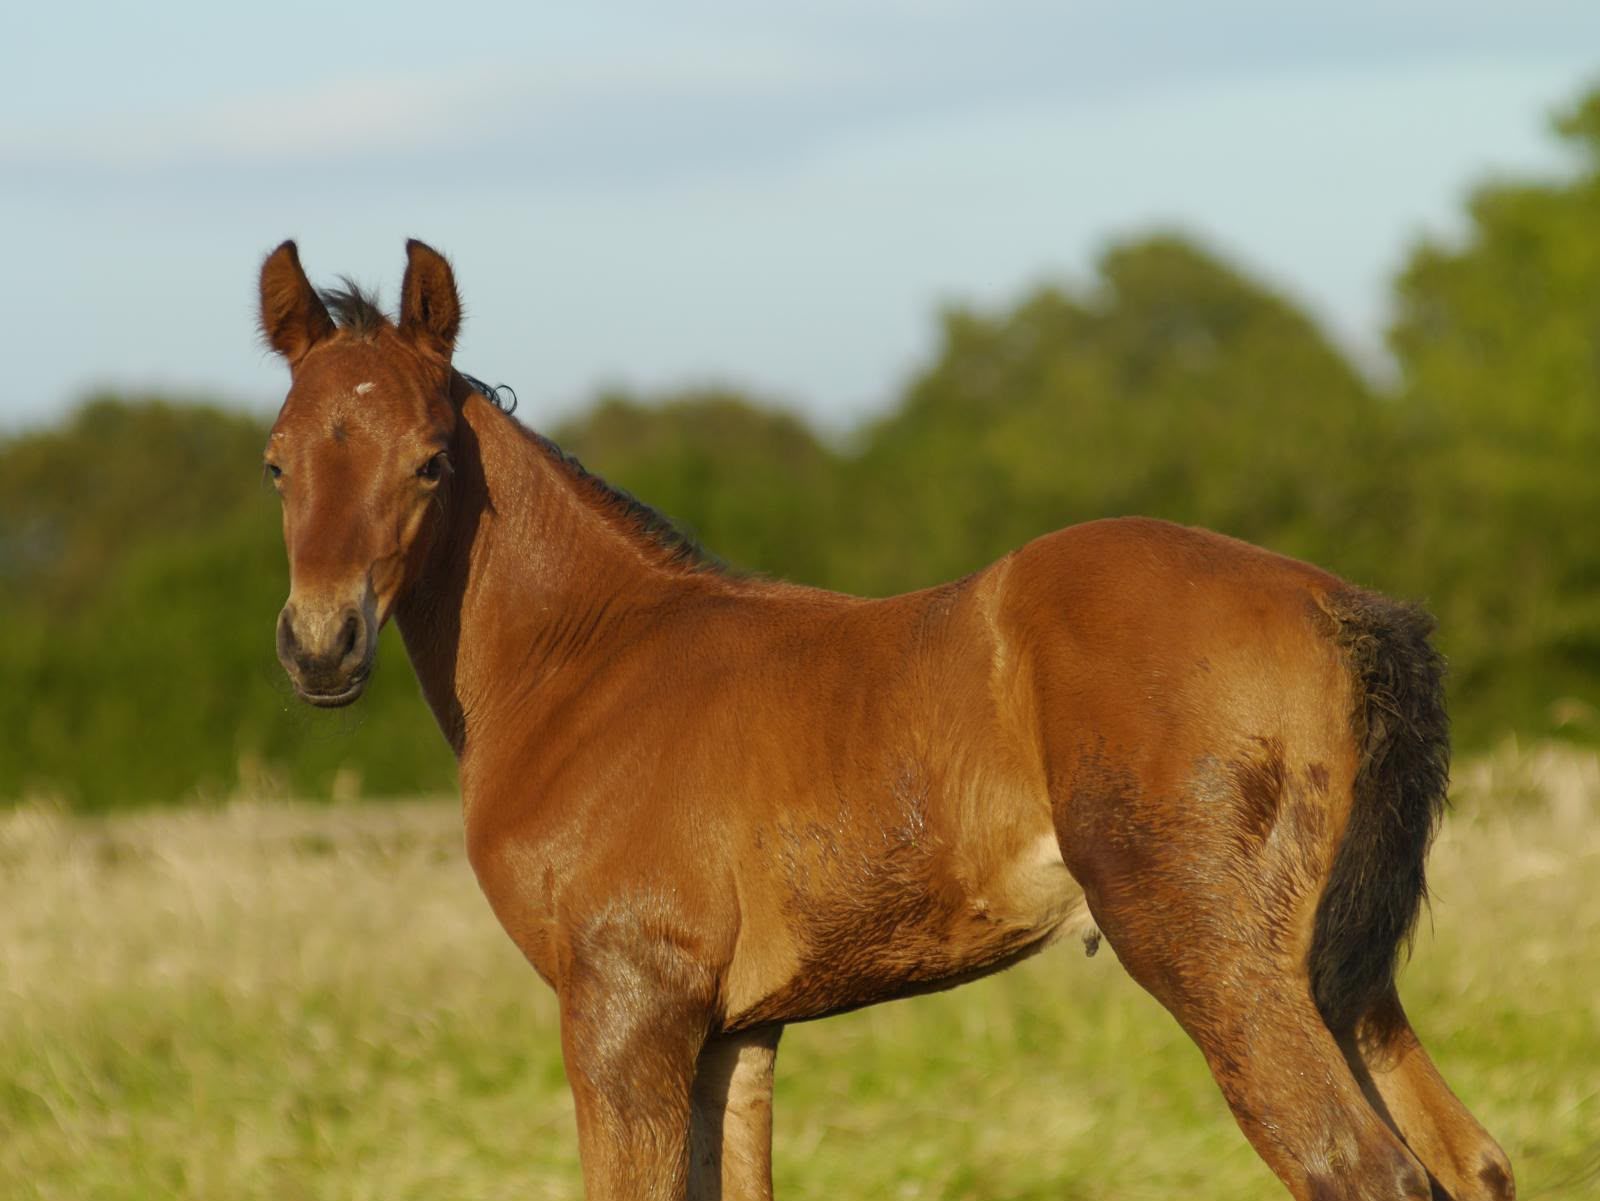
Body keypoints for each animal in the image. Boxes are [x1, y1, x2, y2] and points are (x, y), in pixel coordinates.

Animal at [258, 239, 1513, 1201]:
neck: (591, 660)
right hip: (1337, 972)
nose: (321, 646)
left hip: (1212, 954)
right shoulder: (733, 1033)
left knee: (1362, 1169)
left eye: (431, 462)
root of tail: (1338, 604)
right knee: (1470, 1159)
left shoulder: (625, 1008)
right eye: (275, 463)